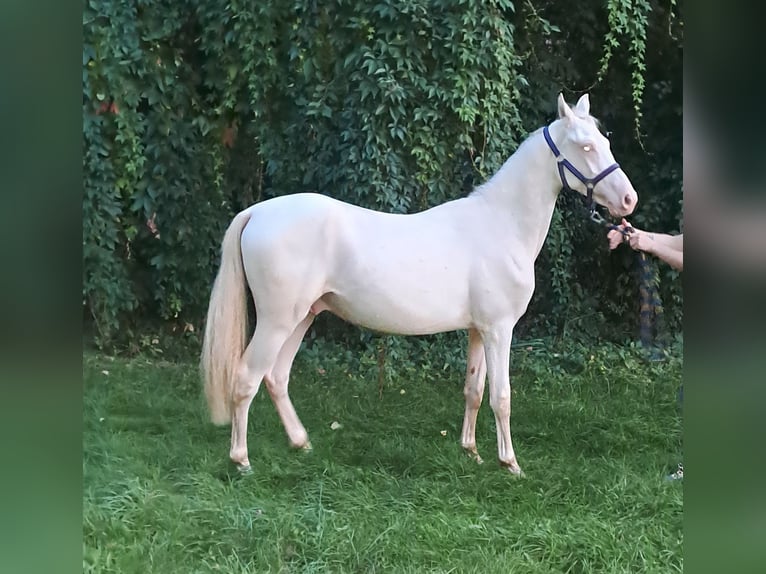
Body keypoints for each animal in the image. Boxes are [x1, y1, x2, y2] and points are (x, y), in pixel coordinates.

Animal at [201, 94, 640, 476]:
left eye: (605, 141)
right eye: (585, 146)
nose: (629, 200)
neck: (501, 224)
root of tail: (258, 212)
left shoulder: (479, 331)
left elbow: (473, 390)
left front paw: (471, 452)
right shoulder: (500, 330)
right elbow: (501, 396)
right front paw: (510, 464)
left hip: (303, 317)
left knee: (276, 377)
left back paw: (301, 443)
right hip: (276, 320)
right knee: (247, 378)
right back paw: (241, 460)